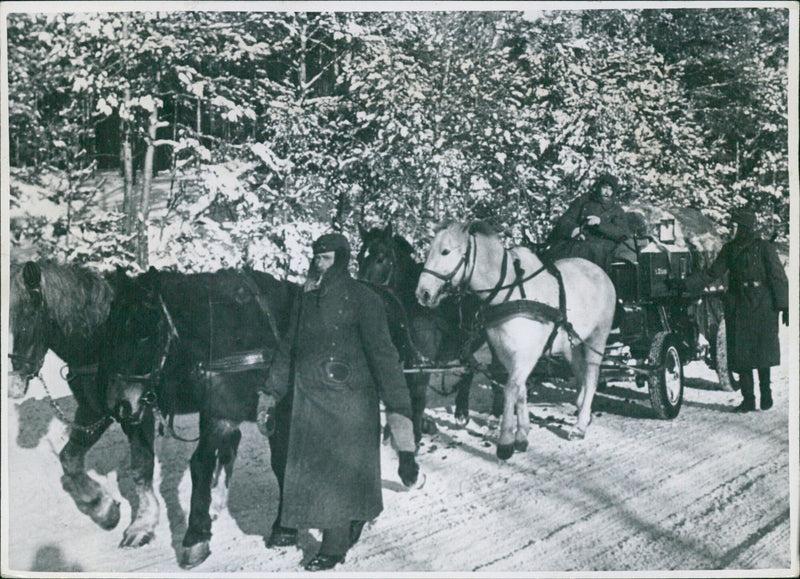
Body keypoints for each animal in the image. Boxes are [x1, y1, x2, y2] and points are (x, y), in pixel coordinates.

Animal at [416, 221, 616, 458]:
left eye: (445, 251)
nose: (422, 293)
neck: (509, 294)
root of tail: (600, 271)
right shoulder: (505, 353)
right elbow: (519, 389)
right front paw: (521, 435)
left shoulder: (525, 354)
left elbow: (510, 388)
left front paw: (505, 441)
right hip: (572, 344)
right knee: (580, 374)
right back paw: (581, 408)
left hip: (597, 337)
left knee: (592, 376)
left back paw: (580, 425)